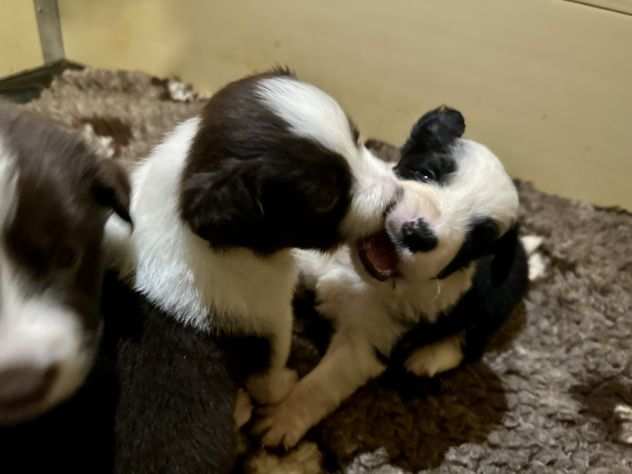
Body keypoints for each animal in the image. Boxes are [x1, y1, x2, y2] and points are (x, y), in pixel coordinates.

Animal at [103, 68, 400, 472]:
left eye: (357, 139)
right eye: (326, 199)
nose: (397, 196)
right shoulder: (270, 320)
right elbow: (269, 376)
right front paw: (285, 384)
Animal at [256, 106, 528, 448]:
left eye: (474, 242)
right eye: (426, 174)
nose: (419, 234)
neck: (359, 274)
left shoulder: (367, 342)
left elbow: (323, 383)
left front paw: (283, 417)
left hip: (491, 310)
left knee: (468, 343)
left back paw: (428, 357)